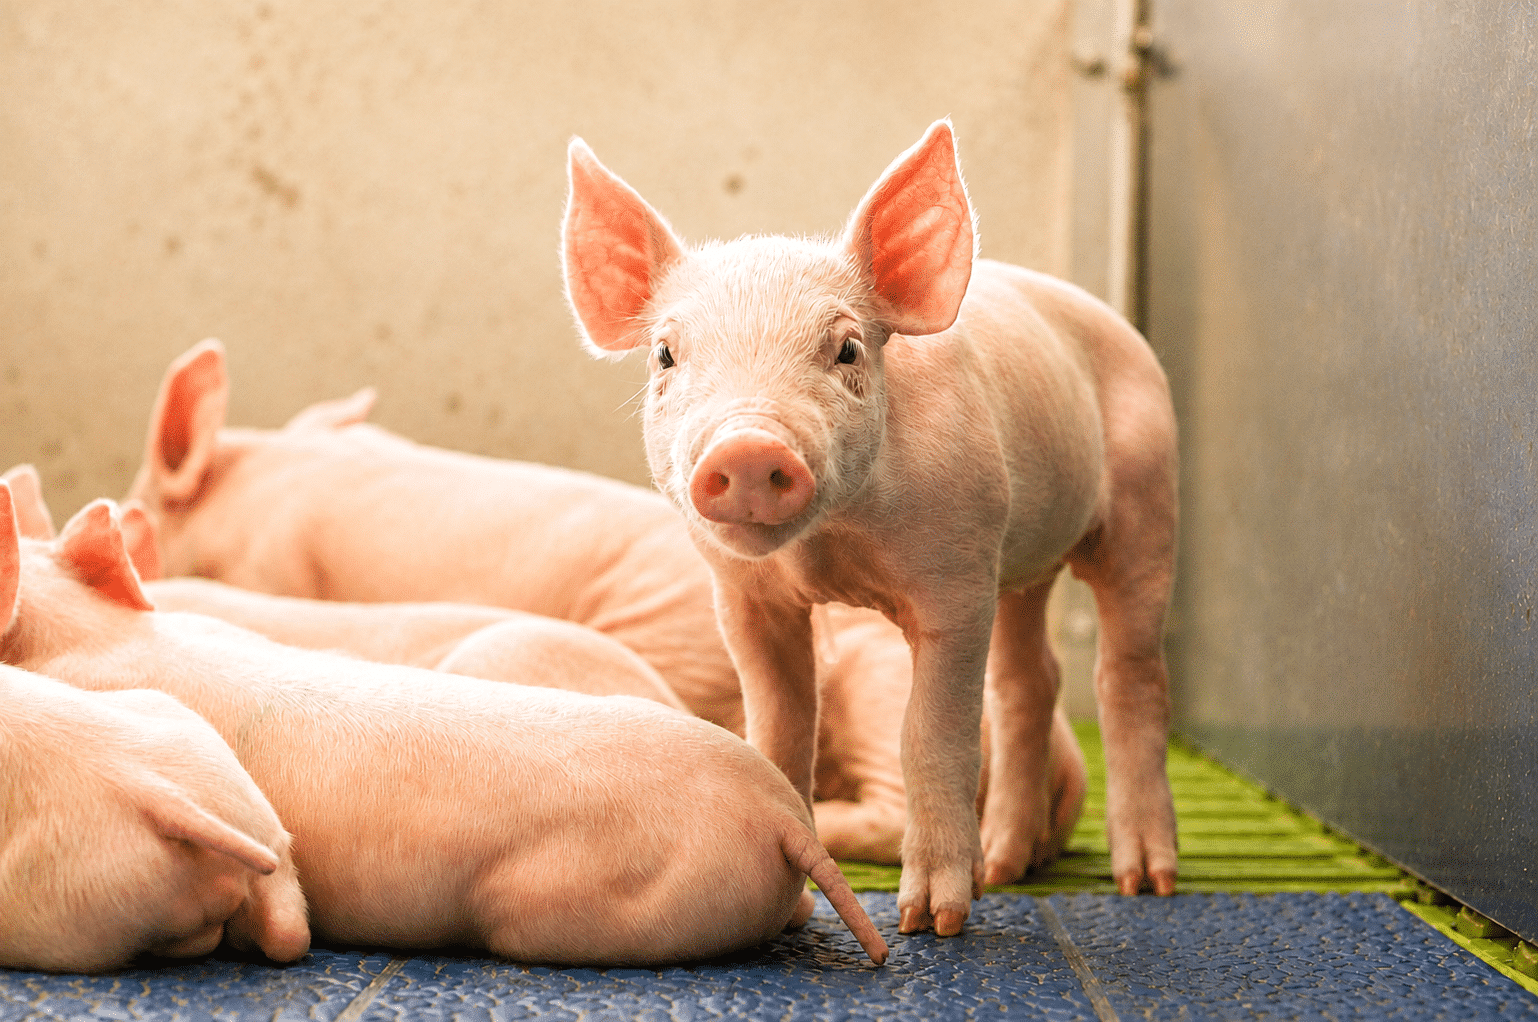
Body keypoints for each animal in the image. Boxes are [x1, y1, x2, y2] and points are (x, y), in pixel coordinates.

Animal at [119, 343, 1091, 870]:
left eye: (134, 522)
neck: (242, 489)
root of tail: (1067, 773)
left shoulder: (273, 557)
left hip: (854, 674)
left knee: (895, 809)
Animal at [561, 119, 1179, 936]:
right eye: (666, 354)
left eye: (847, 348)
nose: (748, 447)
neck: (833, 549)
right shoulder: (747, 600)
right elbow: (780, 729)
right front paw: (795, 908)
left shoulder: (957, 580)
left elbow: (932, 737)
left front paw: (932, 923)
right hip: (1022, 563)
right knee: (1031, 679)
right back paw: (1005, 868)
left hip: (1146, 498)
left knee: (1128, 674)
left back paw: (1147, 882)